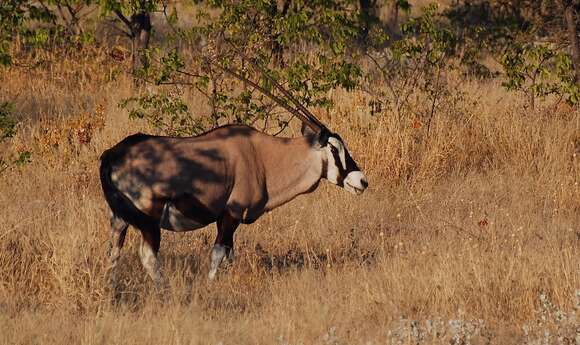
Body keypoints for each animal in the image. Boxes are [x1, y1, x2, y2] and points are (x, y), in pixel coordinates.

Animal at [101, 73, 368, 288]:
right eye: (334, 149)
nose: (362, 181)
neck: (262, 157)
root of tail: (113, 154)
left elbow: (229, 255)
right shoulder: (231, 214)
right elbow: (218, 253)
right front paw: (210, 286)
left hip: (119, 219)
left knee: (113, 252)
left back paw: (111, 287)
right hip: (149, 219)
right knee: (147, 256)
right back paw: (164, 289)